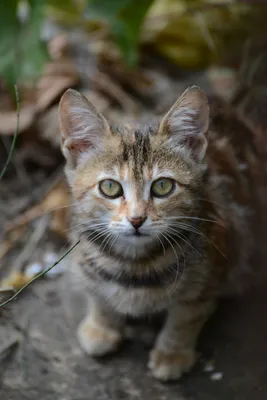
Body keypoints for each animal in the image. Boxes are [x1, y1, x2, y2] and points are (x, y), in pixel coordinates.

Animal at [59, 85, 262, 382]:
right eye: (110, 187)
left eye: (163, 186)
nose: (136, 219)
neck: (133, 264)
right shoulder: (84, 258)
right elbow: (98, 295)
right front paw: (100, 328)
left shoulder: (209, 278)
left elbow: (185, 318)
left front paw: (172, 354)